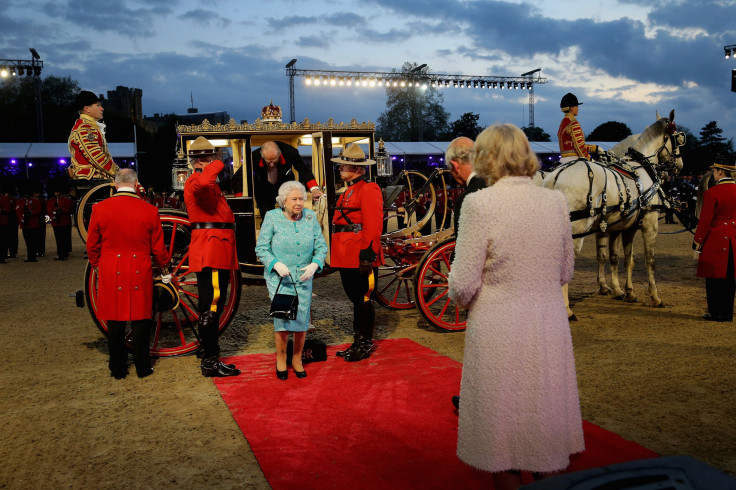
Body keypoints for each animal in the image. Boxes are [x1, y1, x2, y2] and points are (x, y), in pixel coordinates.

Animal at [540, 110, 684, 318]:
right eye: (679, 139)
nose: (679, 166)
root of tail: (554, 177)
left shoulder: (622, 227)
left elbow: (622, 259)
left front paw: (625, 291)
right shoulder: (649, 223)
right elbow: (649, 261)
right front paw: (655, 297)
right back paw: (566, 310)